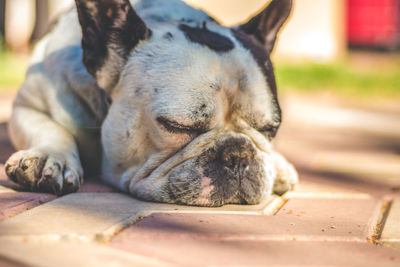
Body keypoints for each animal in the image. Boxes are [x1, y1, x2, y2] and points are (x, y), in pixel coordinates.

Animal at [3, 0, 296, 207]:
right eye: (177, 126)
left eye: (270, 130)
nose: (238, 154)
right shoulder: (29, 105)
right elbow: (52, 128)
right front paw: (49, 156)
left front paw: (278, 163)